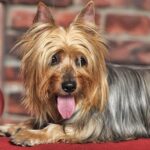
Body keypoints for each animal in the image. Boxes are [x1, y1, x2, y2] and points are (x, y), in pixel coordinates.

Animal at [0, 0, 149, 146]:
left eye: (82, 60)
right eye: (54, 59)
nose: (69, 86)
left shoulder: (91, 128)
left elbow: (55, 127)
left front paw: (28, 134)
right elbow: (35, 120)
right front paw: (12, 127)